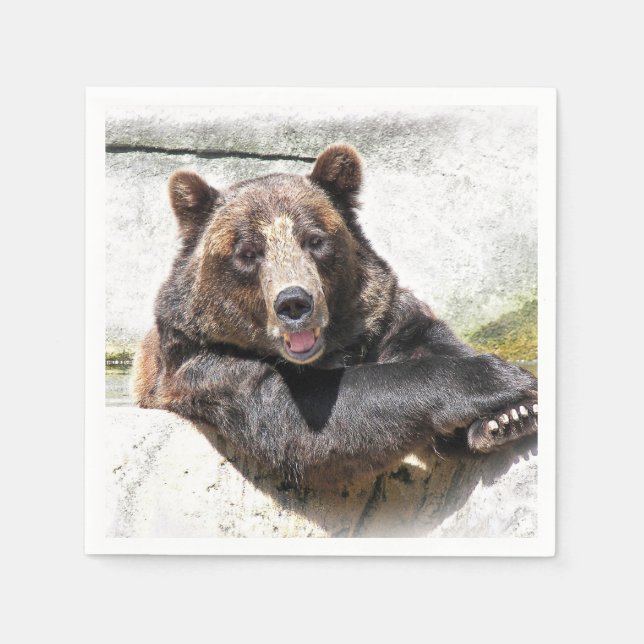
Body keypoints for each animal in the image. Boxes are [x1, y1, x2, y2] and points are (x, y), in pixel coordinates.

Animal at [133, 143, 538, 488]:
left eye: (315, 239)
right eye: (247, 252)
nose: (294, 303)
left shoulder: (384, 319)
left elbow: (428, 341)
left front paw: (508, 416)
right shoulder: (209, 366)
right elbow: (303, 420)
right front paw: (499, 378)